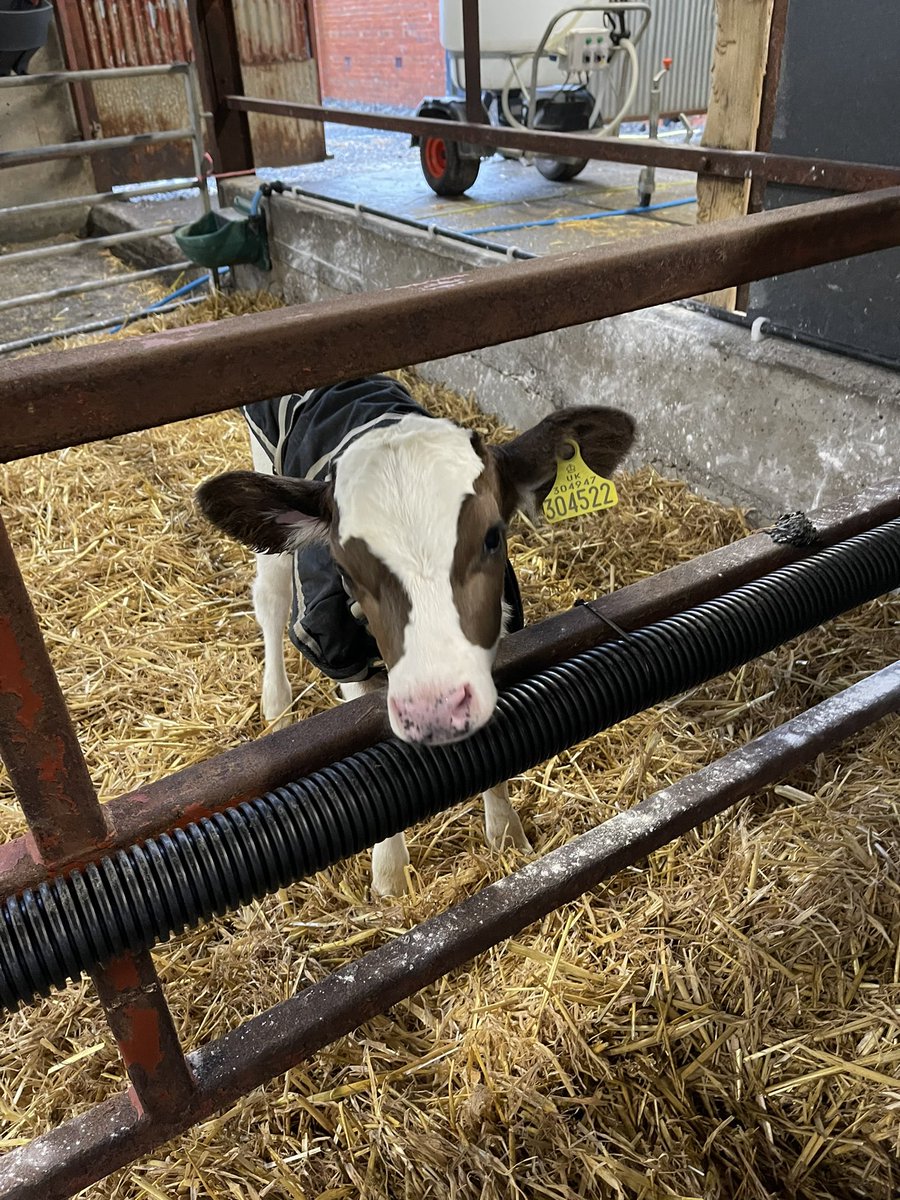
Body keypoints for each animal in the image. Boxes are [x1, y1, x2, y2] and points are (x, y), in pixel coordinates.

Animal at [197, 376, 635, 896]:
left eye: (492, 537)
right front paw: (389, 877)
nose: (433, 710)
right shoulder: (346, 659)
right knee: (271, 592)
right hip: (267, 469)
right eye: (345, 568)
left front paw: (507, 837)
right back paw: (277, 705)